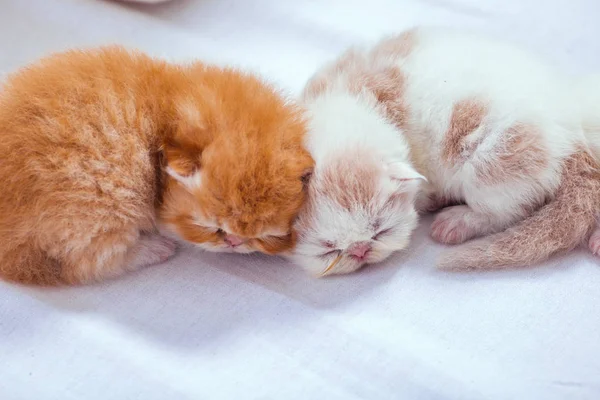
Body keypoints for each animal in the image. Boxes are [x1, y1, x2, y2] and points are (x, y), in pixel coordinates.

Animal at [1, 46, 314, 284]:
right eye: (211, 228)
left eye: (267, 236)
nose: (235, 243)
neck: (169, 108)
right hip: (98, 204)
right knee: (86, 265)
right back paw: (152, 249)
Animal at [288, 26, 596, 276]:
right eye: (328, 248)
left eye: (381, 230)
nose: (360, 250)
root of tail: (571, 130)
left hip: (491, 164)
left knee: (506, 211)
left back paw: (456, 222)